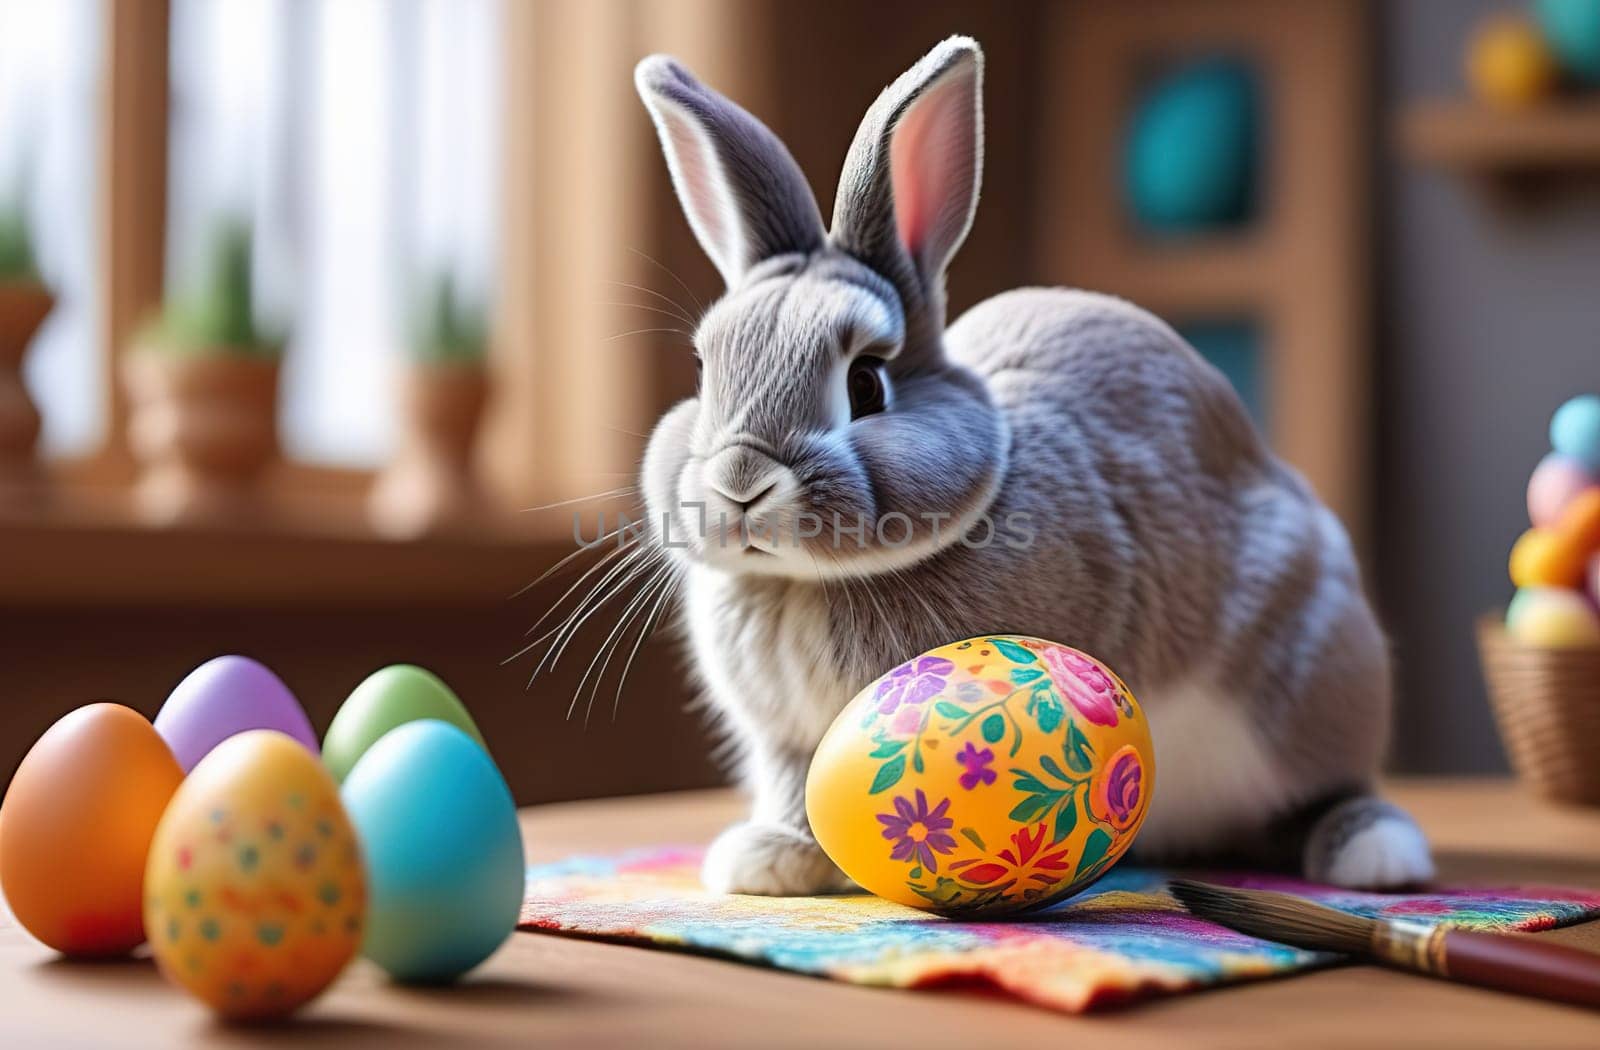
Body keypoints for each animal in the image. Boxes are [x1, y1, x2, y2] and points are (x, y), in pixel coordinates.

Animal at [630, 39, 1433, 896]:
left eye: (866, 383)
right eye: (704, 371)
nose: (740, 484)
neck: (809, 581)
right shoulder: (783, 739)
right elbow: (795, 794)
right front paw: (769, 861)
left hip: (1316, 678)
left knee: (1332, 786)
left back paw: (1378, 854)